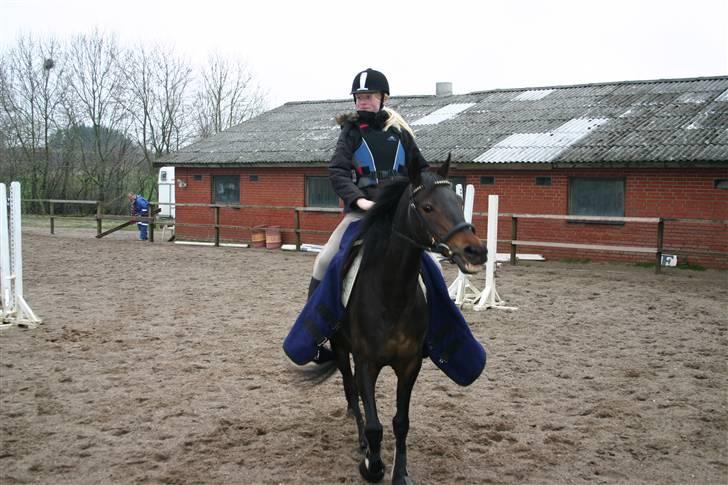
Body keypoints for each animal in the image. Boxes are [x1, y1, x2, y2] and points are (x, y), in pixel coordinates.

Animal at [310, 157, 486, 482]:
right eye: (428, 207)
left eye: (458, 200)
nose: (476, 251)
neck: (391, 294)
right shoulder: (366, 363)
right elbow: (373, 424)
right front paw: (372, 465)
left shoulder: (409, 365)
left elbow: (401, 422)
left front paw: (400, 472)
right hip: (341, 349)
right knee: (351, 393)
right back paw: (362, 444)